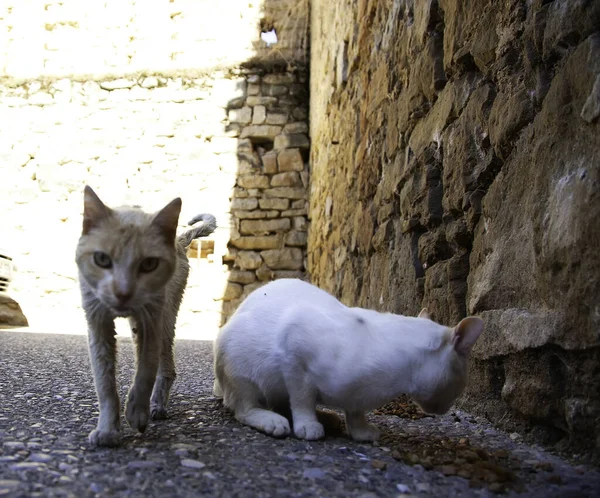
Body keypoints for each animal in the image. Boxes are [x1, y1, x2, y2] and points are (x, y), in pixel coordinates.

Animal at [213, 278, 486, 442]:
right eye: (461, 383)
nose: (445, 410)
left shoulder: (358, 396)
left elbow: (355, 412)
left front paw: (361, 432)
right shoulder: (295, 354)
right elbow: (302, 400)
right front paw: (307, 425)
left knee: (279, 403)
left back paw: (328, 418)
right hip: (243, 374)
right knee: (245, 408)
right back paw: (273, 421)